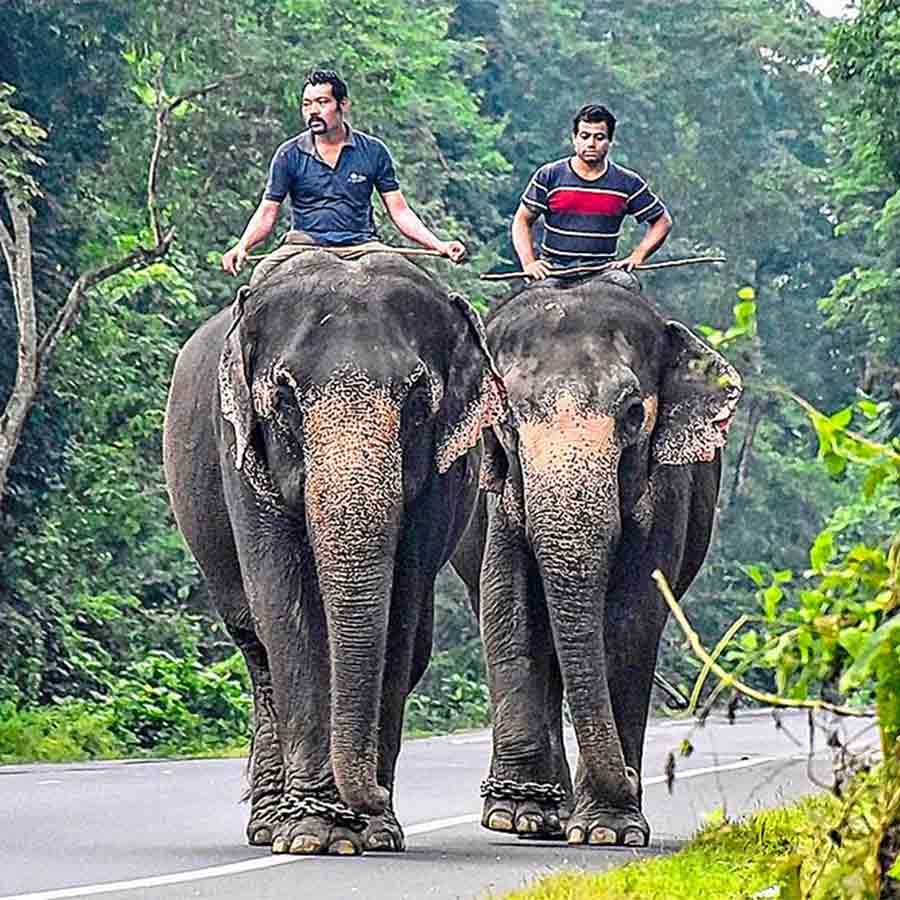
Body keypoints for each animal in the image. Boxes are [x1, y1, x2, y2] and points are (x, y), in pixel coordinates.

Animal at [163, 250, 506, 856]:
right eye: (284, 398)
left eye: (416, 401)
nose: (374, 792)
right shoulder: (239, 451)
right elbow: (286, 608)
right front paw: (314, 835)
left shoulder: (440, 484)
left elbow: (400, 610)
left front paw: (372, 832)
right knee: (257, 648)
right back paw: (269, 825)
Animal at [452, 275, 742, 847]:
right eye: (507, 418)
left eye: (633, 413)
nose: (632, 775)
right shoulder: (497, 494)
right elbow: (508, 605)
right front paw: (516, 814)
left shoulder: (666, 488)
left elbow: (631, 618)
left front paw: (609, 830)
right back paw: (538, 815)